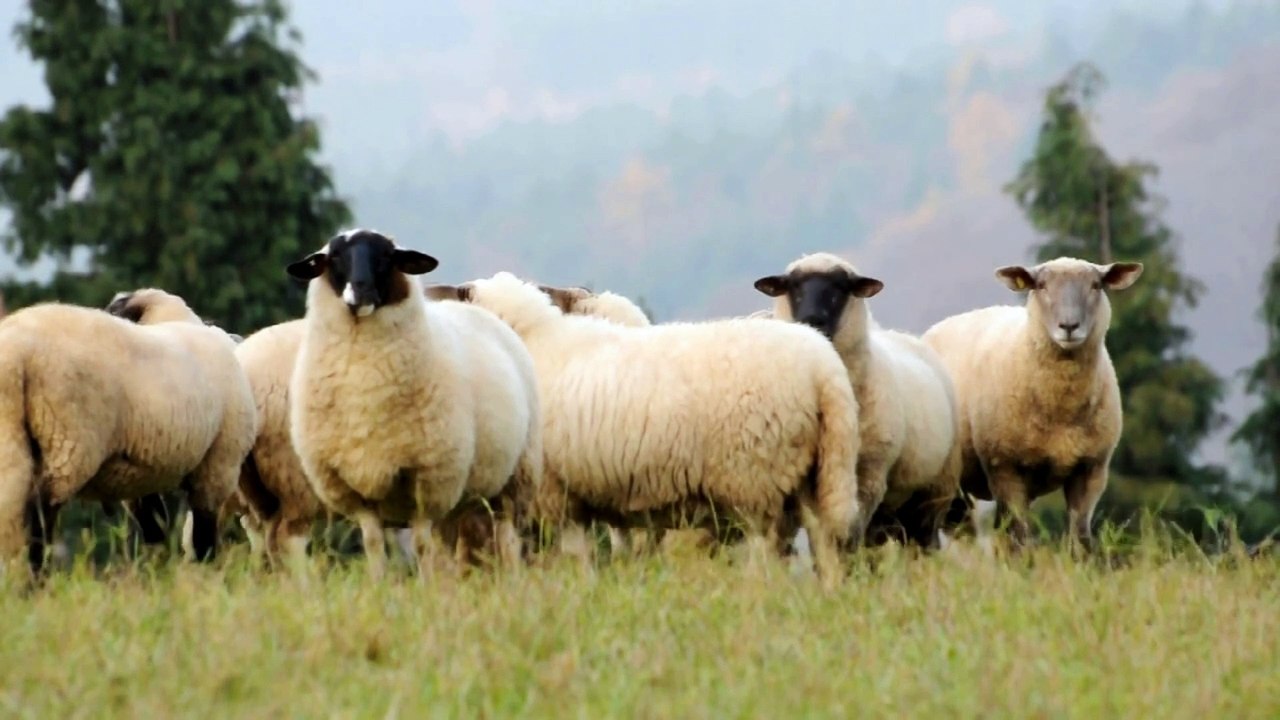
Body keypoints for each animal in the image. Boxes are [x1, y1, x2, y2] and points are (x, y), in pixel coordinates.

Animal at [0, 288, 256, 576]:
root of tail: (18, 351)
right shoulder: (218, 465)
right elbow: (202, 539)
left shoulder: (141, 476)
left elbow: (156, 528)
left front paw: (160, 574)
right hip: (70, 439)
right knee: (41, 514)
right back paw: (37, 578)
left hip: (10, 435)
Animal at [285, 229, 542, 579]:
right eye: (335, 257)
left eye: (386, 256)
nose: (360, 291)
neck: (364, 383)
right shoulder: (354, 489)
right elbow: (374, 544)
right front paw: (379, 584)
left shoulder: (428, 480)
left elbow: (421, 545)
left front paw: (425, 584)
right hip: (464, 493)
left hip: (515, 478)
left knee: (508, 539)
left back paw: (512, 580)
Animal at [455, 271, 861, 586]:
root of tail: (824, 370)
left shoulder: (557, 490)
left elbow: (574, 555)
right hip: (816, 473)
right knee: (824, 543)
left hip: (753, 477)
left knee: (763, 550)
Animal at [755, 252, 962, 550]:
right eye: (793, 287)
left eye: (841, 288)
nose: (812, 320)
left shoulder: (870, 473)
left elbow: (850, 535)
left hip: (934, 490)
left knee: (924, 539)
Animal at [920, 257, 1144, 550]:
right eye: (1041, 285)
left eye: (1096, 285)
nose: (1069, 326)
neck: (1061, 410)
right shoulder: (1005, 469)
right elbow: (1019, 538)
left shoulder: (1091, 469)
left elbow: (1080, 537)